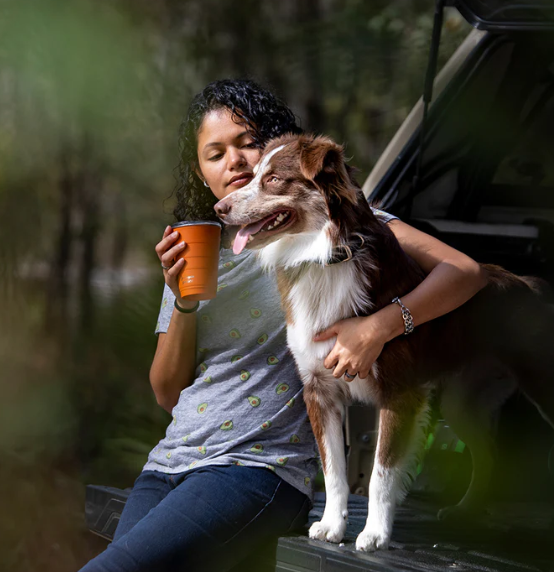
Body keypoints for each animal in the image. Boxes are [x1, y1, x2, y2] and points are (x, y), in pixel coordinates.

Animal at [212, 133, 552, 548]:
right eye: (251, 174)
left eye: (274, 179)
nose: (219, 208)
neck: (326, 255)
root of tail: (531, 285)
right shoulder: (320, 390)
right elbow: (334, 471)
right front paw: (332, 525)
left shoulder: (399, 392)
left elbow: (380, 474)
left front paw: (375, 533)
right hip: (462, 401)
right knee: (488, 454)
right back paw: (466, 512)